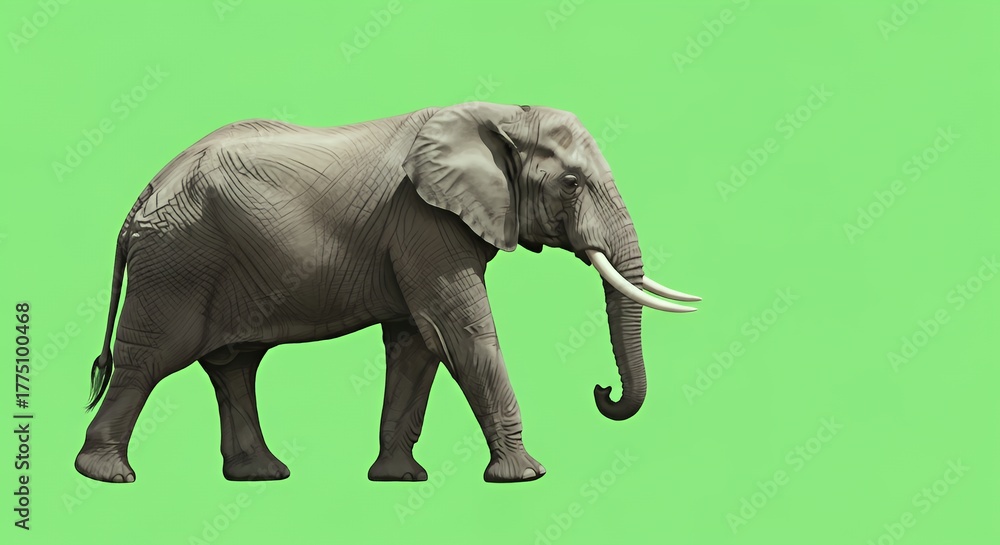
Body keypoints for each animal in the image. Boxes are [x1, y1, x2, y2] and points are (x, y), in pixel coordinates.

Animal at [75, 101, 701, 484]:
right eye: (571, 183)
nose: (601, 391)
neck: (497, 113)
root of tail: (141, 196)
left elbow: (417, 344)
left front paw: (400, 479)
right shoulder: (424, 222)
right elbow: (460, 333)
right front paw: (526, 476)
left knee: (234, 364)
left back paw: (262, 474)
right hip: (177, 262)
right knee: (150, 359)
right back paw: (108, 476)